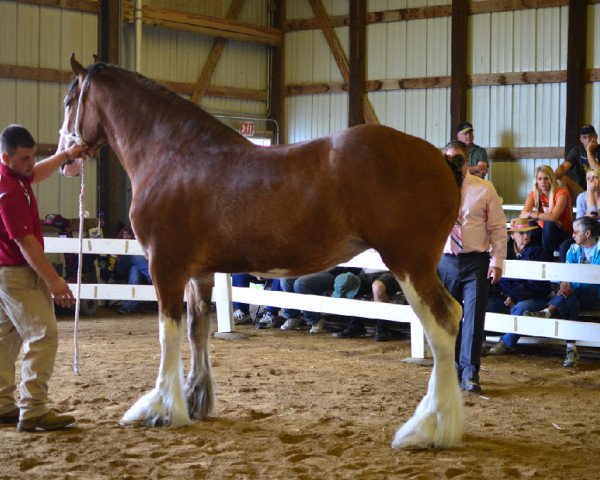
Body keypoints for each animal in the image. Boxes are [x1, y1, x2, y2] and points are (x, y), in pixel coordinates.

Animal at [58, 55, 464, 450]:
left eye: (68, 101)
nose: (65, 159)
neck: (173, 156)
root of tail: (442, 159)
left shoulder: (165, 266)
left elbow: (167, 334)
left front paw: (159, 409)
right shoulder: (198, 272)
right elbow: (197, 329)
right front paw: (195, 400)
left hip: (409, 263)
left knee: (442, 323)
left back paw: (429, 429)